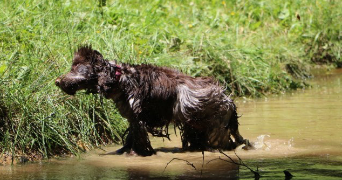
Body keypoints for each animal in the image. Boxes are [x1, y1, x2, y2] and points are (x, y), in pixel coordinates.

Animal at [56, 45, 248, 156]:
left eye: (75, 68)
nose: (57, 81)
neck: (119, 78)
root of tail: (228, 99)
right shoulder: (134, 120)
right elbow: (130, 140)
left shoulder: (138, 119)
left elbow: (138, 141)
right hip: (196, 127)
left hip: (216, 128)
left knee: (226, 143)